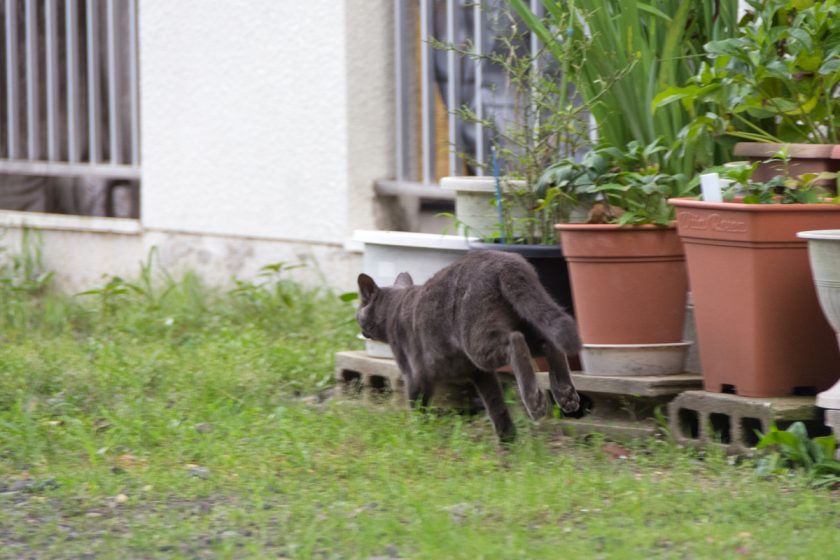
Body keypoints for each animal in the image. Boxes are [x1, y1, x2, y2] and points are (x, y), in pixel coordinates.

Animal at [358, 250, 580, 442]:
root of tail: (505, 262)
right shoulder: (479, 374)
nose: (359, 324)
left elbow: (416, 404)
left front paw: (418, 433)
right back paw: (565, 394)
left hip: (478, 341)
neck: (394, 308)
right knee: (549, 341)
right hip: (523, 317)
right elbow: (495, 403)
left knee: (516, 341)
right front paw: (507, 439)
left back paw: (535, 401)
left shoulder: (415, 375)